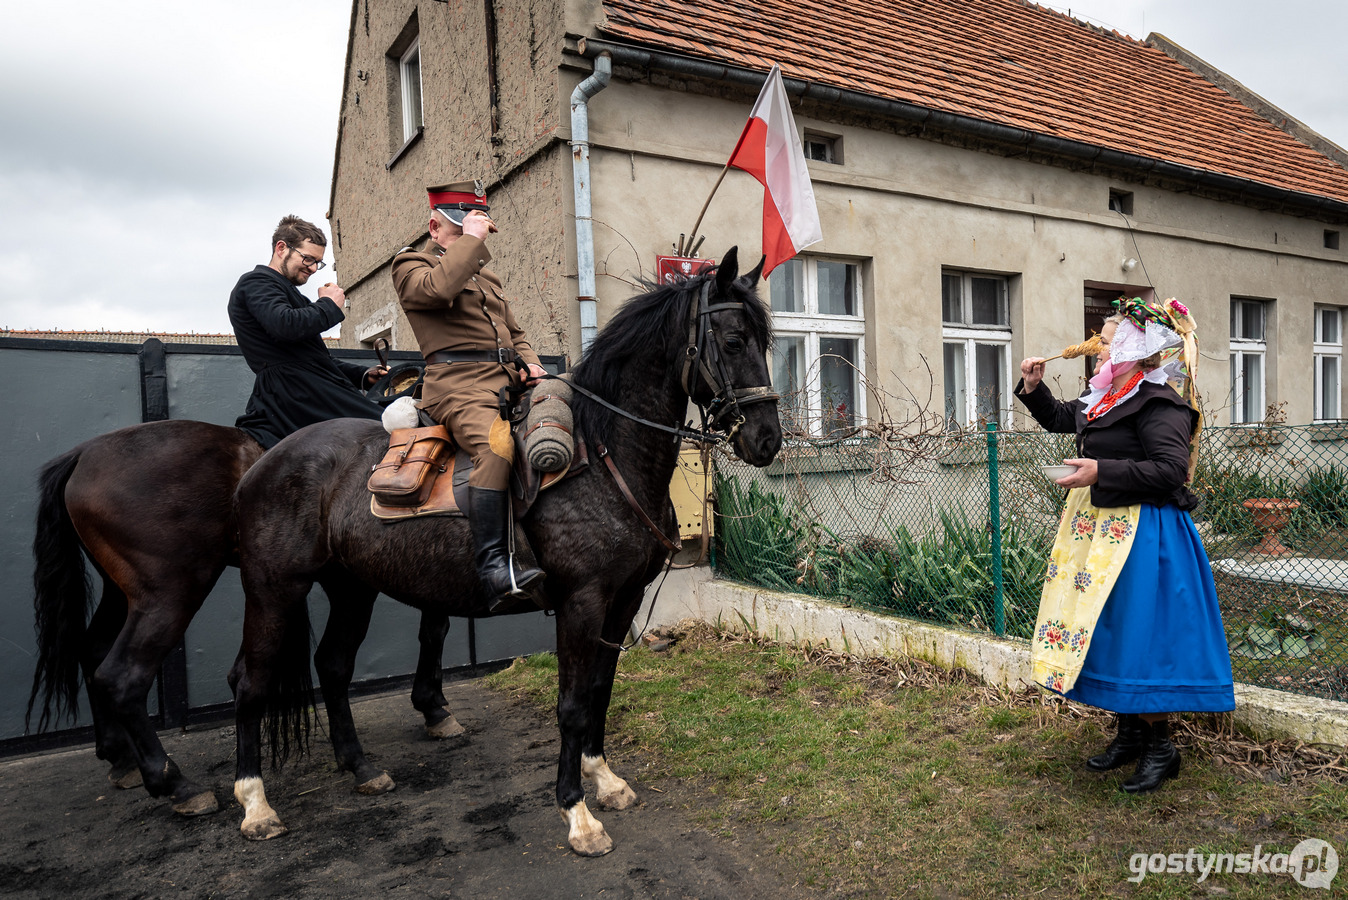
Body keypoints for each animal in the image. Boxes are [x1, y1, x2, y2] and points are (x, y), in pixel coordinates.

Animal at [229, 249, 781, 856]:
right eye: (733, 341)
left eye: (766, 342)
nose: (768, 439)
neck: (605, 455)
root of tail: (264, 458)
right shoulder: (582, 603)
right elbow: (571, 704)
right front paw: (577, 813)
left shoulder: (623, 600)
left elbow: (599, 691)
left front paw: (604, 778)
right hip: (274, 588)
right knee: (250, 682)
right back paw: (255, 804)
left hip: (352, 586)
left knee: (332, 664)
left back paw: (360, 768)